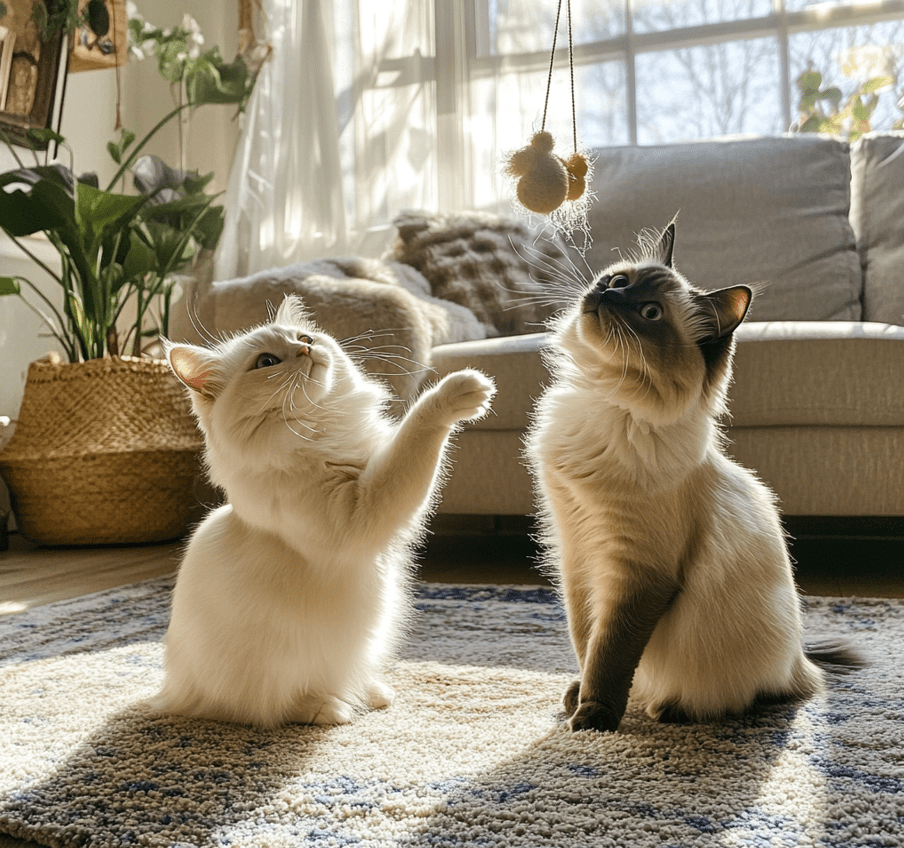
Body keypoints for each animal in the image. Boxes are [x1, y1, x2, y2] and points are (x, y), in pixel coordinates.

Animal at [152, 294, 498, 724]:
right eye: (267, 362)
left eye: (305, 338)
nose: (306, 350)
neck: (320, 433)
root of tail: (177, 694)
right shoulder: (361, 514)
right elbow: (414, 433)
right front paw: (461, 388)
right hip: (276, 670)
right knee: (270, 707)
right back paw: (332, 708)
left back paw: (372, 693)